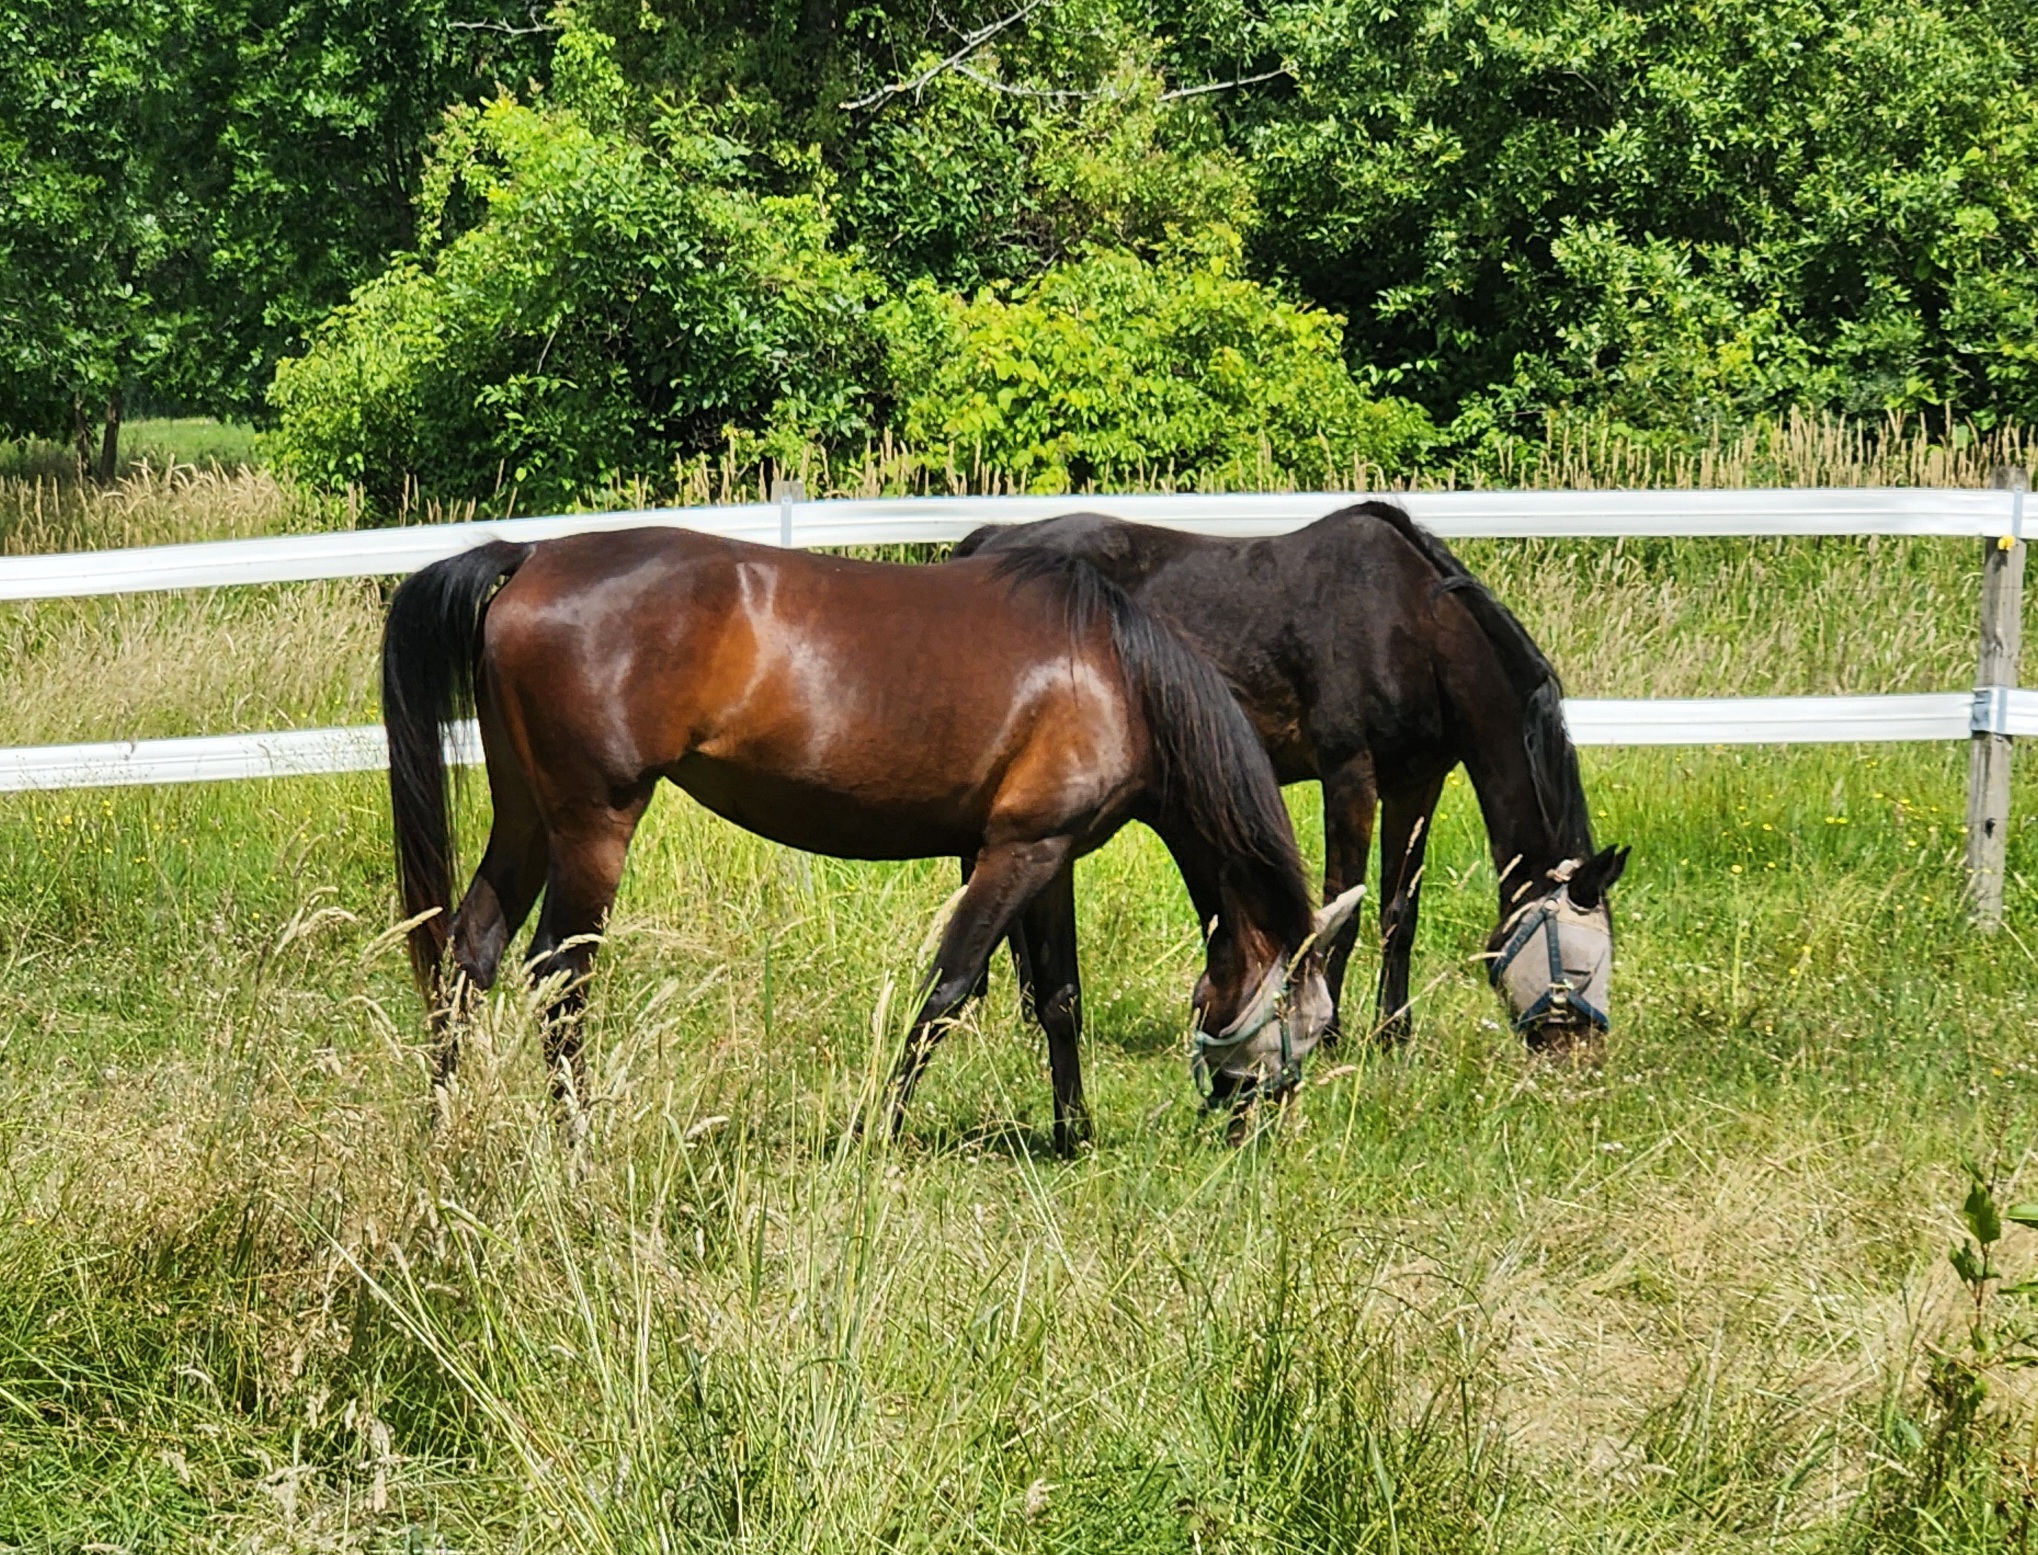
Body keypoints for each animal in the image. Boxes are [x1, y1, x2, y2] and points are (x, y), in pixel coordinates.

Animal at [380, 528, 1364, 1156]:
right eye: (1309, 1027)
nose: (1255, 1136)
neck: (1114, 672)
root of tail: (533, 555)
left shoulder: (1048, 855)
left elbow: (1059, 998)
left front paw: (1073, 1134)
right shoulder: (1015, 854)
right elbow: (948, 991)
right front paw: (878, 1131)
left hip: (527, 815)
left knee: (471, 952)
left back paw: (442, 1128)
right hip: (594, 825)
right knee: (559, 975)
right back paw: (577, 1141)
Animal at [954, 502, 1629, 1048]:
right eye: (1579, 967)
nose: (1579, 1054)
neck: (1410, 623)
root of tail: (990, 540)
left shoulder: (1416, 783)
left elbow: (1399, 912)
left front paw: (1393, 1032)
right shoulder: (1350, 775)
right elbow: (1343, 910)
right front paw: (1330, 1031)